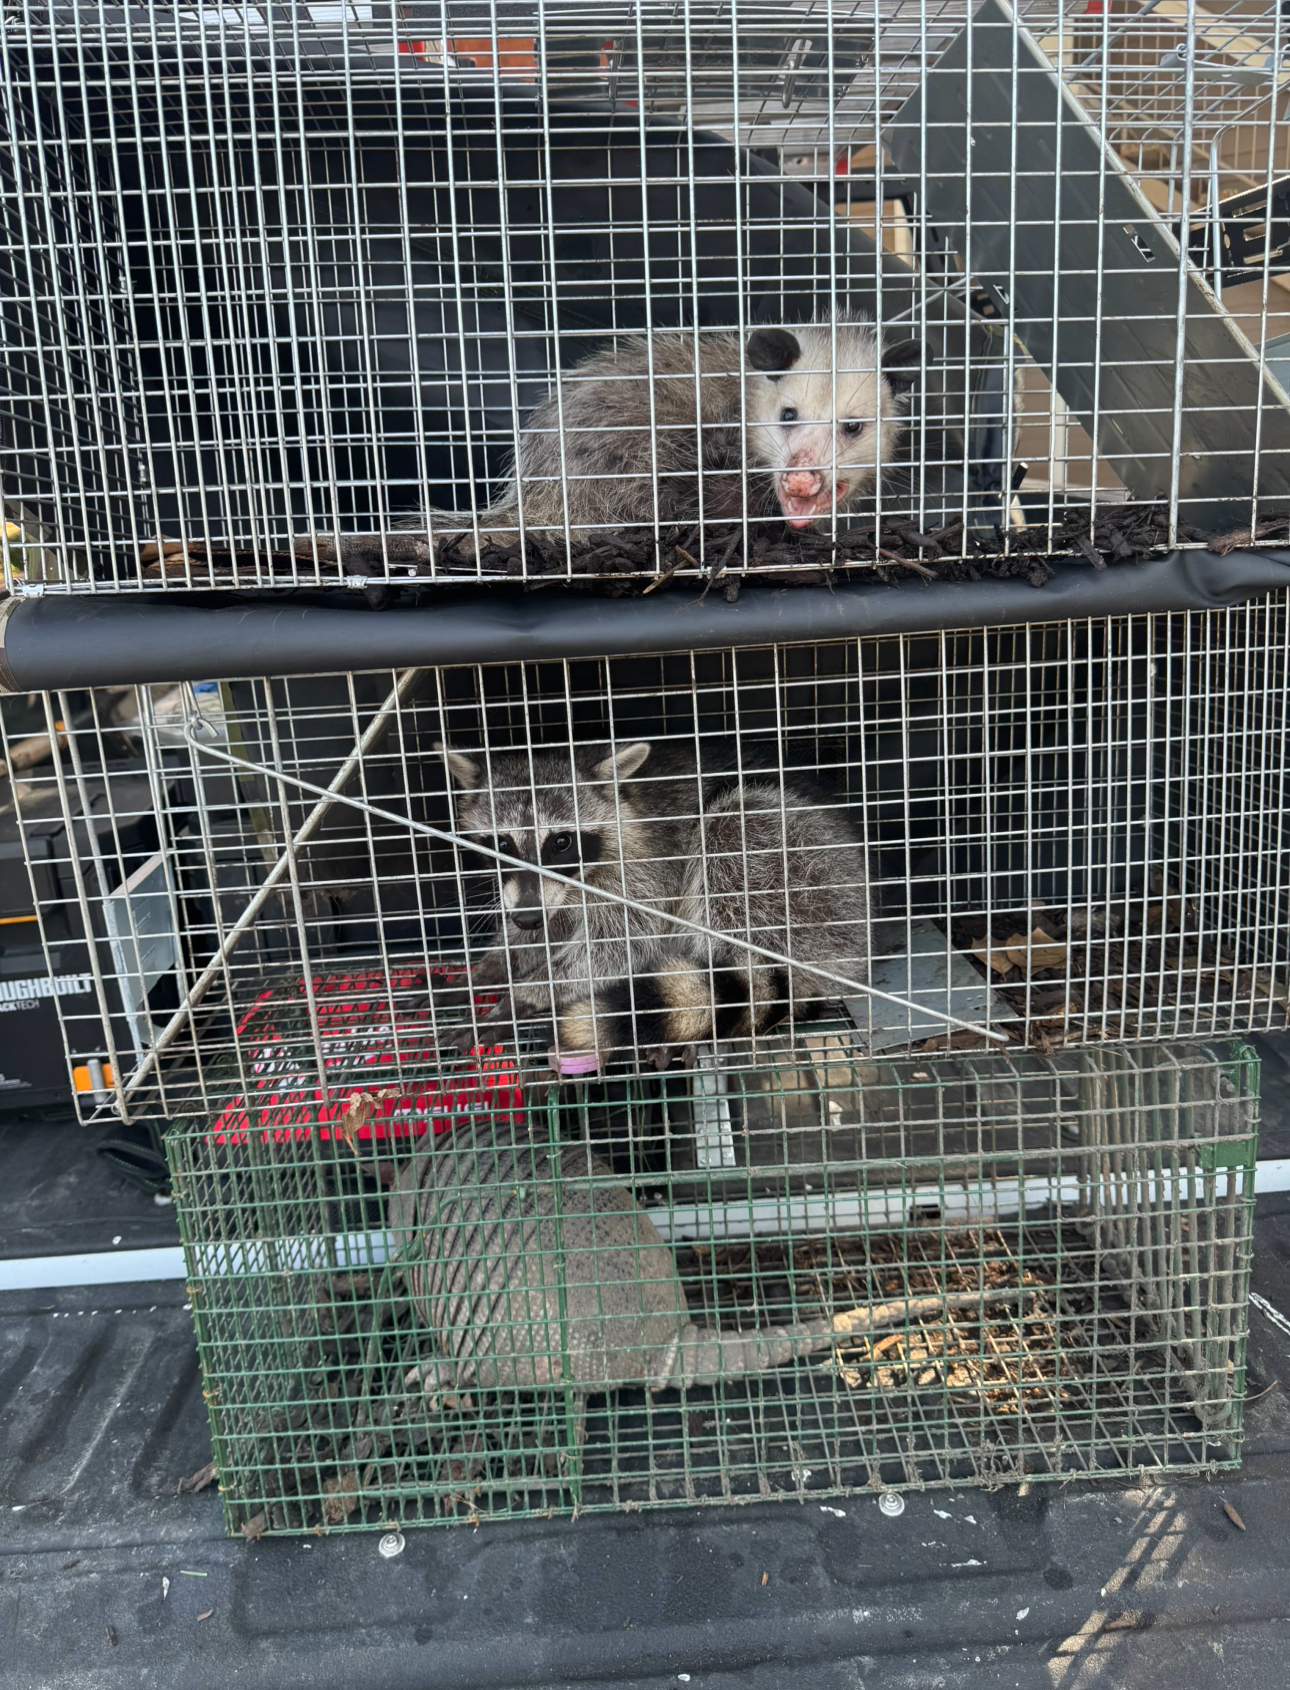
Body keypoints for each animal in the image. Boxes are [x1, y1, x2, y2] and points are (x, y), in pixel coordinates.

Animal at [437, 737, 870, 1072]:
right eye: (503, 843)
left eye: (561, 841)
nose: (526, 917)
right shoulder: (546, 893)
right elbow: (547, 927)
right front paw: (489, 971)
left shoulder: (644, 870)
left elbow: (619, 945)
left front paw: (525, 995)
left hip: (807, 875)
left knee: (730, 831)